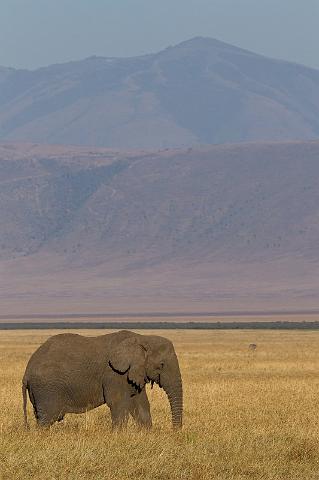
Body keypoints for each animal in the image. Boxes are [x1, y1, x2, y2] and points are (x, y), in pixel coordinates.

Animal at [21, 328, 182, 430]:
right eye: (161, 365)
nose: (175, 431)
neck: (143, 338)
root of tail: (26, 372)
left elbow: (141, 404)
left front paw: (146, 434)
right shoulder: (115, 374)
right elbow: (118, 403)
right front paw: (118, 435)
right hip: (47, 388)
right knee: (47, 419)